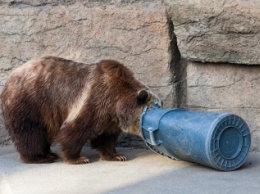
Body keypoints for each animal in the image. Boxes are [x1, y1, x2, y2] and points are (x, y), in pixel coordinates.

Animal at [1, 56, 160, 164]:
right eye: (153, 108)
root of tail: (9, 78)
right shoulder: (95, 99)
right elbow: (76, 129)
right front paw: (78, 158)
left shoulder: (110, 117)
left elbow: (106, 137)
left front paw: (116, 155)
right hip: (30, 101)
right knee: (30, 132)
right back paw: (40, 157)